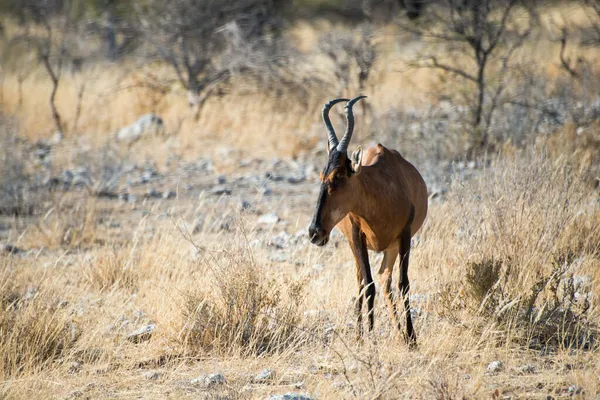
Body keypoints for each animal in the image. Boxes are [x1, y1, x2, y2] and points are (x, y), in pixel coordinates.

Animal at [308, 95, 428, 342]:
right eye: (322, 175)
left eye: (339, 175)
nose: (314, 232)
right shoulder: (357, 236)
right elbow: (367, 285)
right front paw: (368, 338)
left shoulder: (405, 236)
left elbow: (403, 284)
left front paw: (412, 339)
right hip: (354, 245)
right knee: (363, 280)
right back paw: (360, 334)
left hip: (391, 247)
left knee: (385, 279)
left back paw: (400, 334)